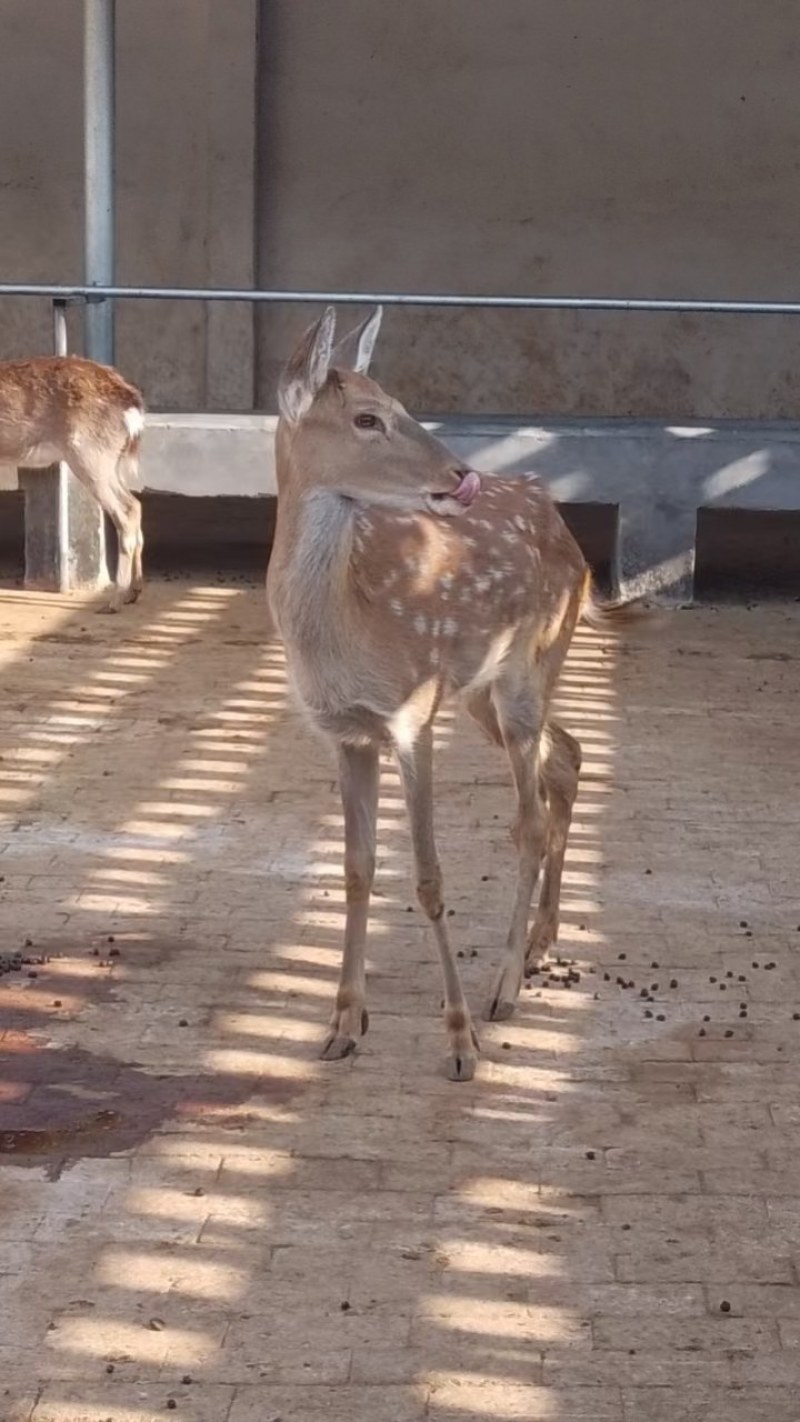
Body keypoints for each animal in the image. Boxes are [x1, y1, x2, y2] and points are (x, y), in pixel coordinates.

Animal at [0, 355, 145, 612]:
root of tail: (132, 404)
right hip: (109, 463)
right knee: (135, 504)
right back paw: (134, 591)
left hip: (88, 455)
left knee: (126, 511)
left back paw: (115, 600)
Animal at [268, 306, 631, 1080]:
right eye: (367, 418)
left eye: (402, 402)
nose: (459, 473)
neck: (345, 630)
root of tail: (561, 523)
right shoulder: (344, 733)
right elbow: (355, 868)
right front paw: (343, 1025)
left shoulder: (411, 716)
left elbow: (429, 876)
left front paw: (459, 1041)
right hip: (482, 693)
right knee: (568, 754)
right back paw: (542, 939)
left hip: (529, 665)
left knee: (528, 818)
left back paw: (505, 988)